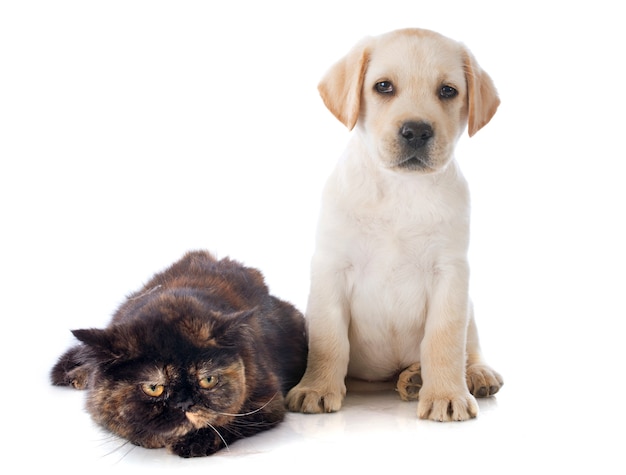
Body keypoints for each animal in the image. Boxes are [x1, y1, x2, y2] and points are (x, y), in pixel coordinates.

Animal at [50, 251, 308, 460]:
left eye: (208, 380)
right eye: (153, 388)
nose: (184, 403)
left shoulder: (268, 401)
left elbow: (232, 420)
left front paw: (194, 442)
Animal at [286, 27, 502, 422]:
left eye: (448, 91)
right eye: (383, 86)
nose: (416, 131)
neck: (401, 188)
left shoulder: (451, 273)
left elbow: (445, 339)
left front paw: (447, 393)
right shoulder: (331, 268)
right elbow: (329, 339)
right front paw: (317, 388)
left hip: (470, 306)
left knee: (471, 345)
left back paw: (468, 374)